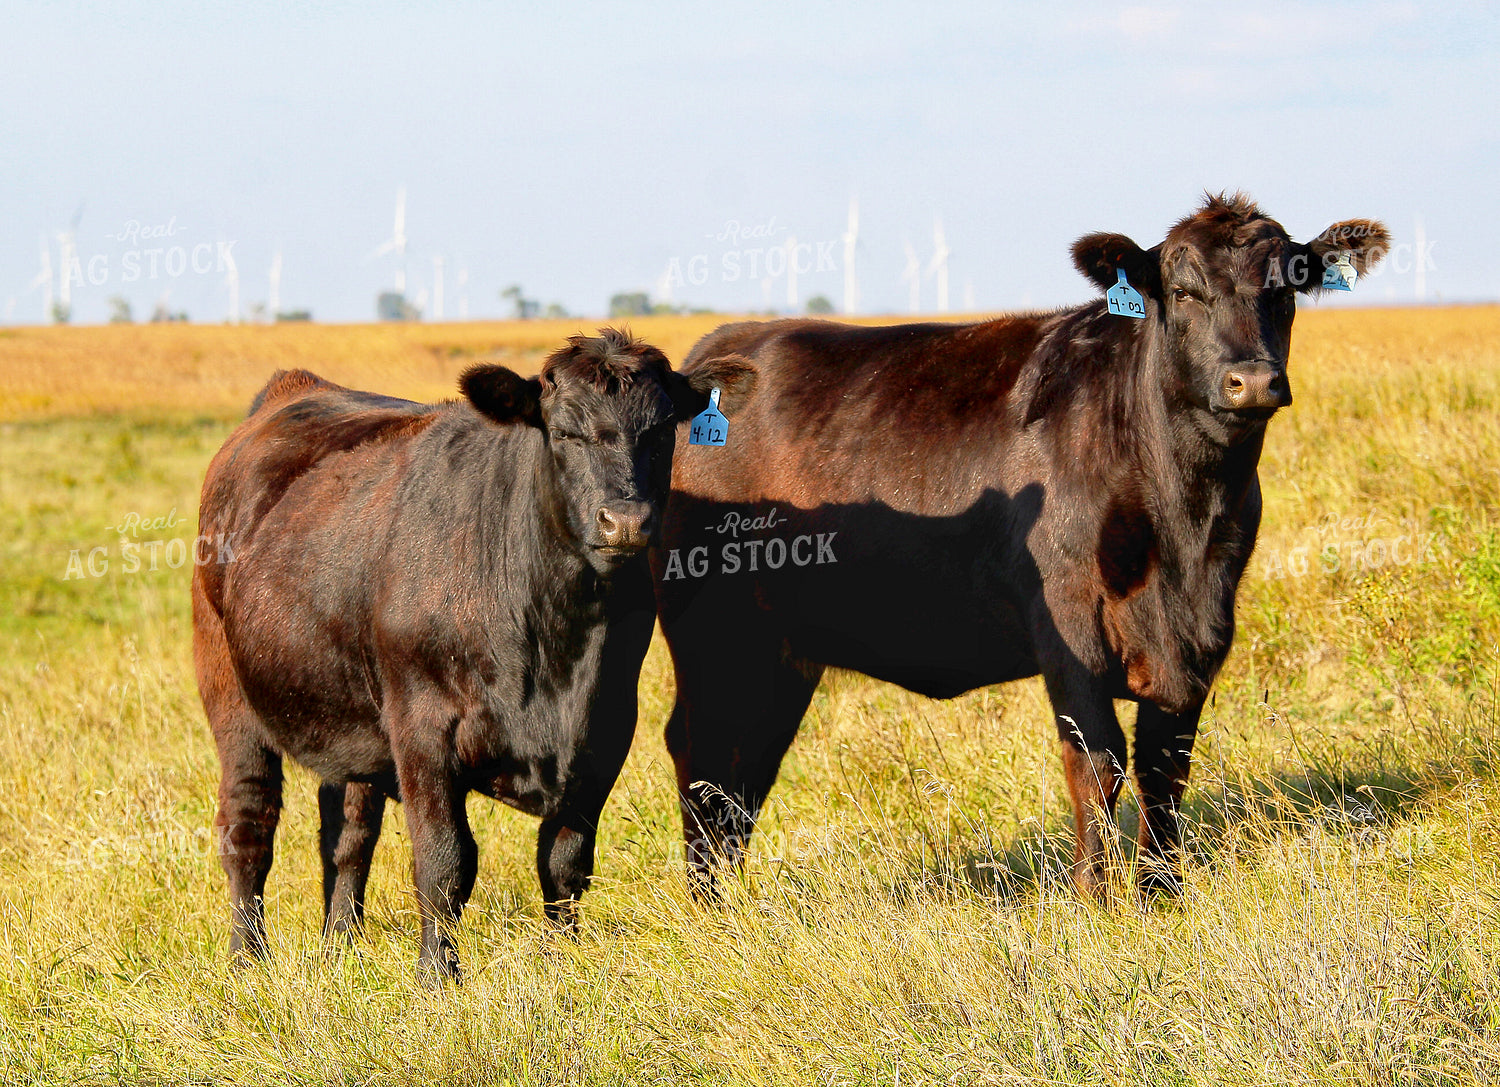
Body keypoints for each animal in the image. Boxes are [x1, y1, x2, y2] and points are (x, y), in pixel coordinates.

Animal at [192, 328, 754, 982]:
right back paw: (247, 961)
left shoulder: (606, 729)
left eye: (664, 431)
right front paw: (438, 978)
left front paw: (565, 958)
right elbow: (445, 863)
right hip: (230, 695)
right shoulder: (423, 730)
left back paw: (340, 949)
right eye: (564, 432)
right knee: (248, 826)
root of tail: (294, 389)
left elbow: (565, 861)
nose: (626, 521)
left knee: (348, 832)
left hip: (349, 716)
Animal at [651, 194, 1388, 901]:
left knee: (747, 760)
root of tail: (719, 350)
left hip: (780, 649)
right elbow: (1098, 758)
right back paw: (708, 903)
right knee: (703, 749)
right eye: (1184, 290)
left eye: (1287, 288)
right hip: (709, 630)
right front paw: (1096, 898)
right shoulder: (1068, 623)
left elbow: (1164, 764)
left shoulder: (1201, 634)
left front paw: (1163, 892)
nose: (1253, 381)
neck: (1185, 517)